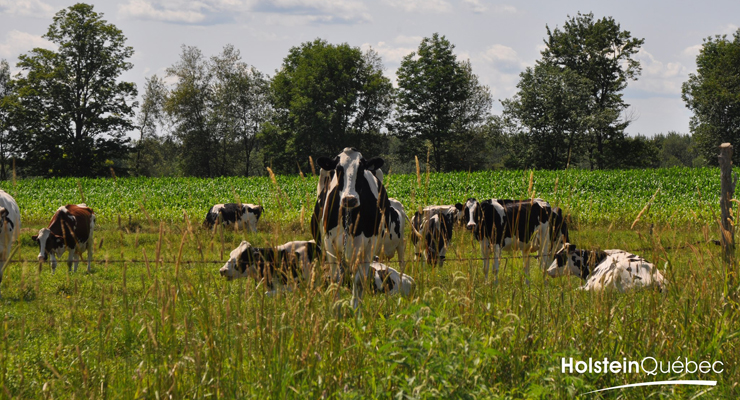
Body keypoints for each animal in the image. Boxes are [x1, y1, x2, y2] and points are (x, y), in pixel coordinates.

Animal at [312, 148, 394, 308]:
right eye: (338, 169)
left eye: (361, 169)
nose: (349, 199)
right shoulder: (329, 243)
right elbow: (335, 277)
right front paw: (336, 306)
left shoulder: (368, 246)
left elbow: (359, 279)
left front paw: (356, 308)